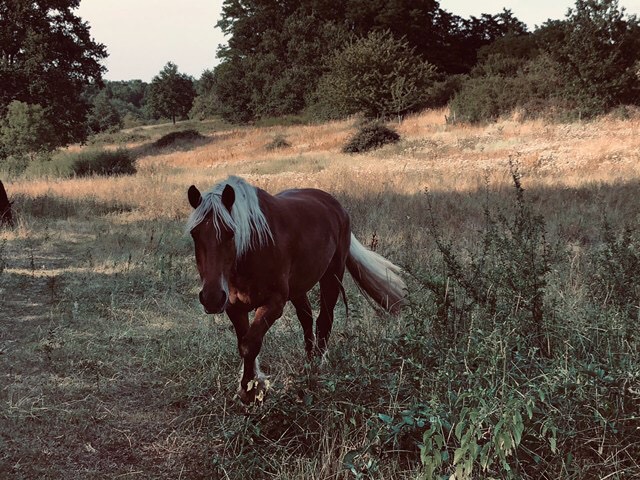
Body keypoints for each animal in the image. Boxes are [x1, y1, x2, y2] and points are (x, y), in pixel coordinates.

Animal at [186, 175, 404, 402]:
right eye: (194, 234)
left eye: (230, 233)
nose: (211, 298)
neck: (254, 248)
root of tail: (336, 206)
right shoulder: (234, 306)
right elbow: (244, 344)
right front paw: (251, 387)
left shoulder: (274, 304)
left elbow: (250, 344)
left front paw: (251, 390)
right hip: (298, 288)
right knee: (307, 318)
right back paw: (308, 363)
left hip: (332, 275)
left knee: (324, 319)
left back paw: (317, 367)